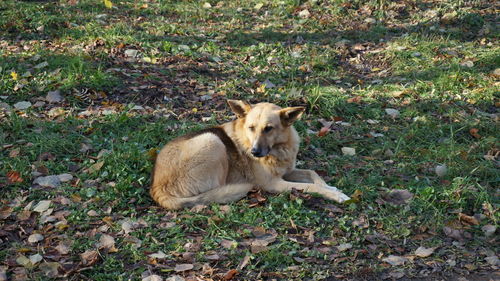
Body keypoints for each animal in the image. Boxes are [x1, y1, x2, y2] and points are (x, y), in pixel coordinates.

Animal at [150, 99, 350, 209]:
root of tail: (156, 188)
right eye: (251, 128)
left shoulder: (288, 171)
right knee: (215, 193)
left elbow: (313, 174)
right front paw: (335, 194)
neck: (279, 148)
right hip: (212, 141)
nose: (254, 152)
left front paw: (332, 188)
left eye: (269, 128)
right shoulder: (274, 183)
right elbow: (310, 186)